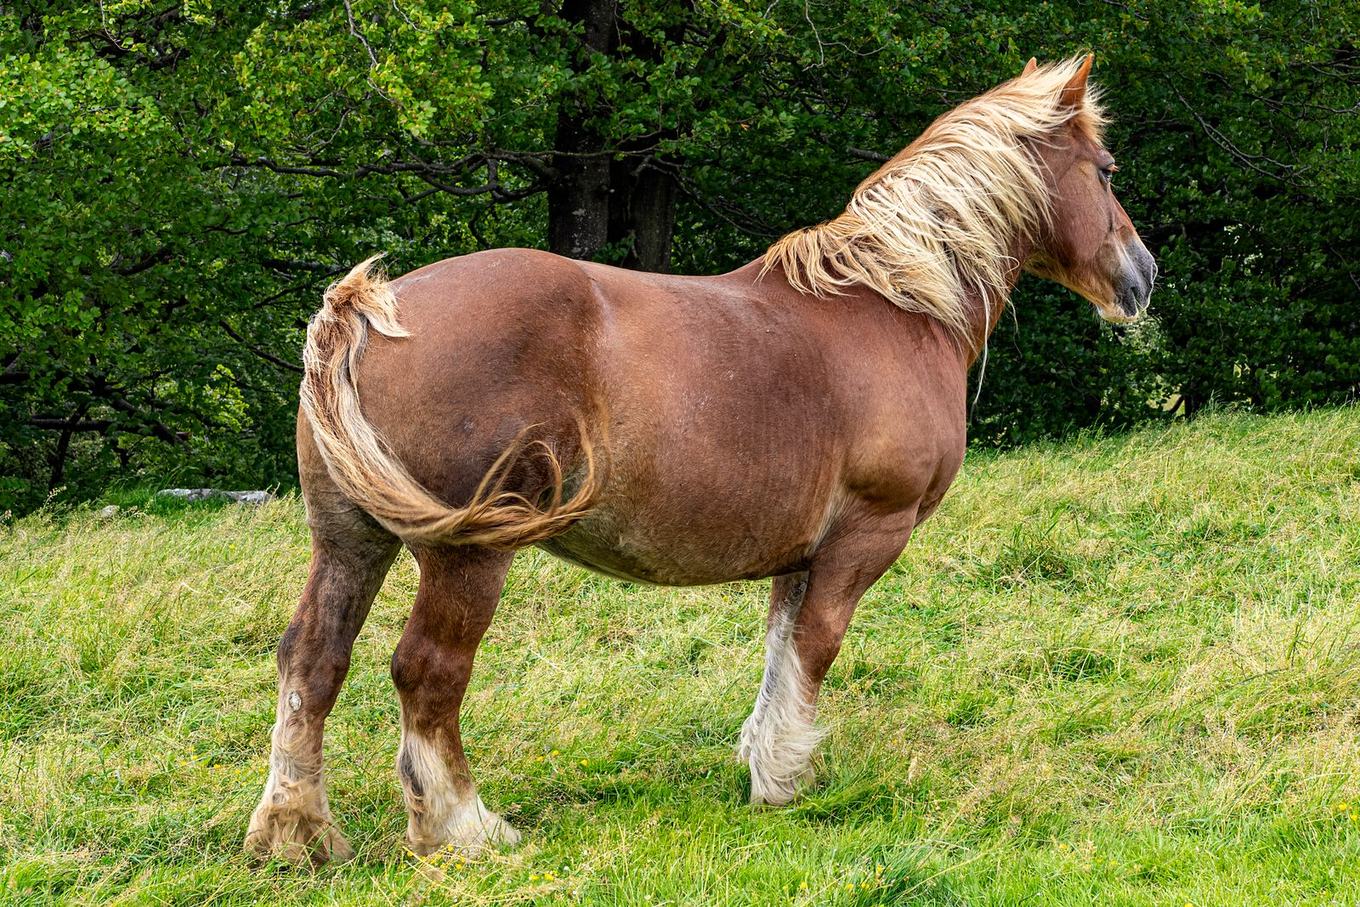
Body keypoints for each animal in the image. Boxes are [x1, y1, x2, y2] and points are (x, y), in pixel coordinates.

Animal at [245, 55, 1157, 864]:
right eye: (1107, 170)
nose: (1143, 275)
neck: (892, 304)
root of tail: (367, 311)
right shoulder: (865, 536)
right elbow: (817, 646)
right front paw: (782, 782)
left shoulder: (801, 552)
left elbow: (781, 649)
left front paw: (764, 756)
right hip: (467, 556)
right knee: (427, 672)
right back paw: (464, 826)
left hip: (351, 541)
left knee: (312, 661)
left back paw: (296, 833)